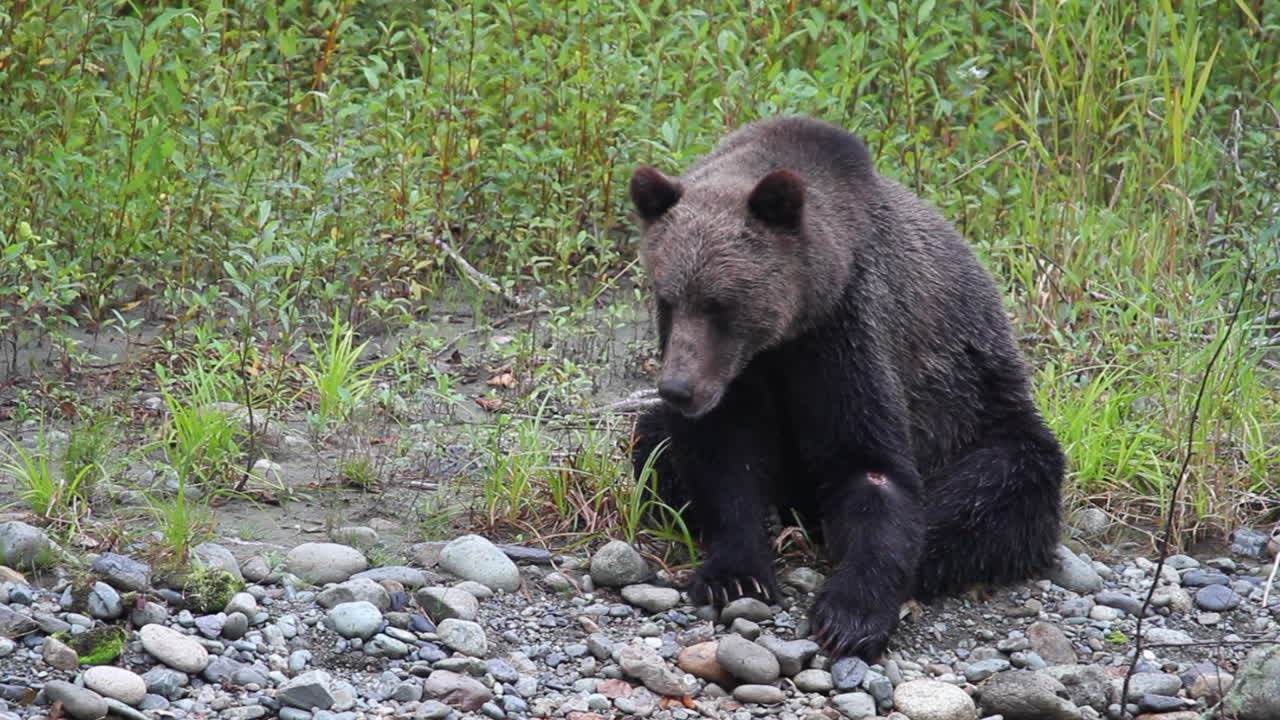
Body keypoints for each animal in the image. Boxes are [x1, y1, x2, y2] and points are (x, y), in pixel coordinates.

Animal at [627, 116, 1065, 660]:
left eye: (720, 305)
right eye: (668, 298)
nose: (679, 389)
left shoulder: (845, 333)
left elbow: (870, 464)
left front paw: (850, 614)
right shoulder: (743, 374)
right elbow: (724, 457)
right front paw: (736, 575)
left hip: (983, 412)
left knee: (999, 486)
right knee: (650, 438)